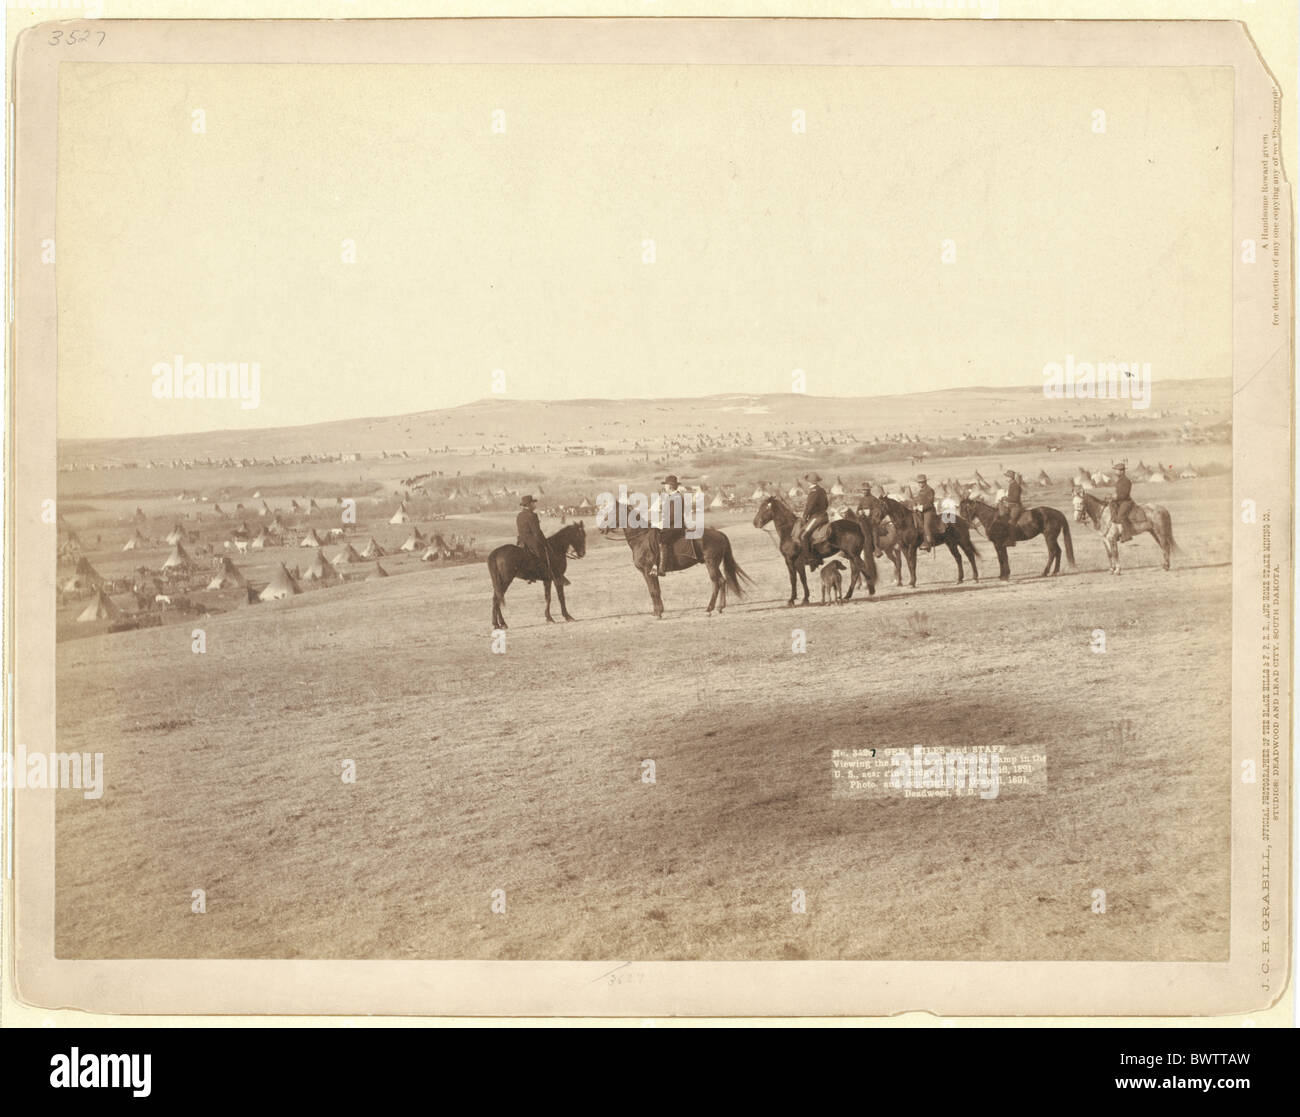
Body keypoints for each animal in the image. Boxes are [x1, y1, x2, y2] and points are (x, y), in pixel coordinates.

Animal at [600, 507, 754, 621]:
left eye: (611, 513)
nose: (601, 529)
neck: (641, 539)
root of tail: (719, 533)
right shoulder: (650, 573)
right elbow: (655, 590)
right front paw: (658, 611)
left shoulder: (647, 571)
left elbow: (653, 591)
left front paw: (658, 614)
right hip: (714, 564)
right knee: (722, 581)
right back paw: (720, 608)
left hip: (711, 563)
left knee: (717, 582)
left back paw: (709, 609)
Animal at [748, 496, 878, 605]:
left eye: (764, 508)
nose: (755, 523)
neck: (789, 531)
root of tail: (856, 525)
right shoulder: (797, 562)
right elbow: (802, 578)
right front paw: (805, 598)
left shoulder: (791, 560)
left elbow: (794, 579)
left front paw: (793, 599)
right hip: (851, 555)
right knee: (855, 572)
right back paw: (847, 596)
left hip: (853, 555)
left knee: (862, 568)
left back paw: (871, 590)